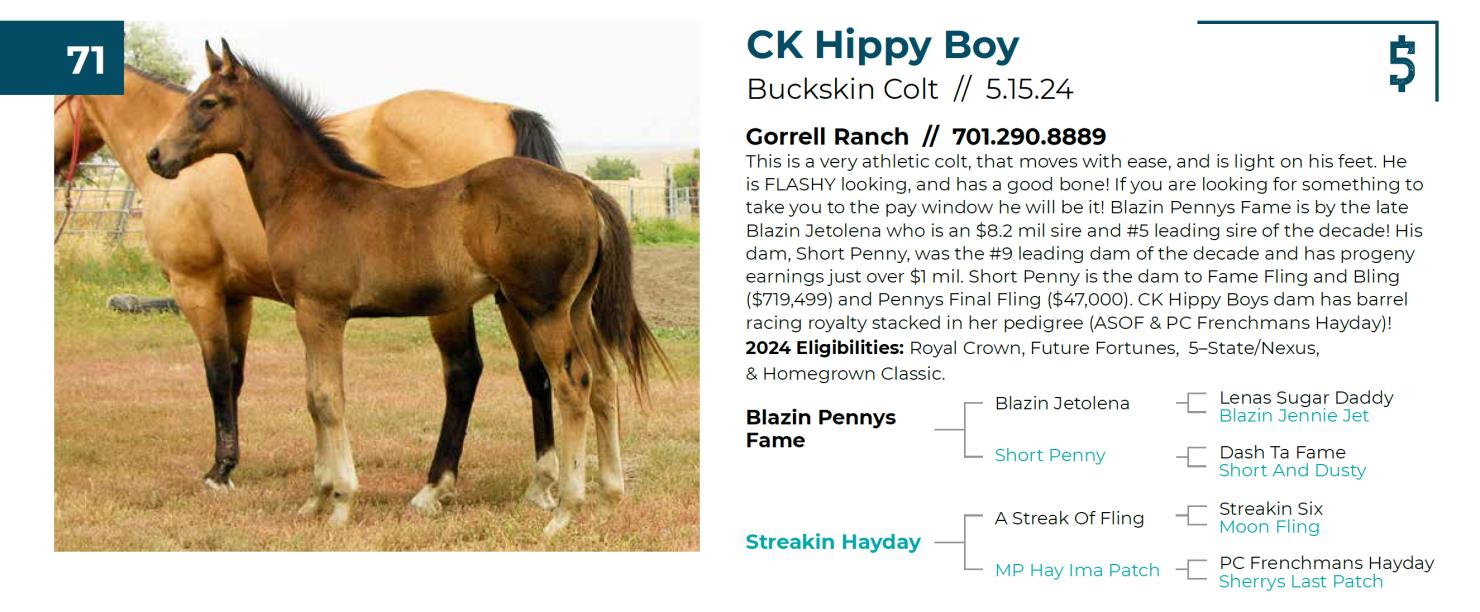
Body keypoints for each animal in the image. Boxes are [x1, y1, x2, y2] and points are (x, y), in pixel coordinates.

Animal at [56, 65, 571, 513]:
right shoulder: (238, 295)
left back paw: (434, 487)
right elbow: (237, 375)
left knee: (464, 371)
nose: (157, 157)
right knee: (536, 372)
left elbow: (218, 376)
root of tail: (503, 114)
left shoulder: (196, 287)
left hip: (454, 301)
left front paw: (219, 472)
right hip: (514, 295)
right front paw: (234, 463)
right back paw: (541, 487)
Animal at [148, 41, 665, 535]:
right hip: (577, 308)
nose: (156, 156)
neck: (310, 194)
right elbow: (313, 399)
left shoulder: (320, 311)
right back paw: (610, 495)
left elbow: (327, 399)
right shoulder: (309, 314)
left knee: (571, 383)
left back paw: (563, 511)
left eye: (208, 102)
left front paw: (340, 502)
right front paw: (314, 500)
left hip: (543, 309)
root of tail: (583, 187)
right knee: (604, 379)